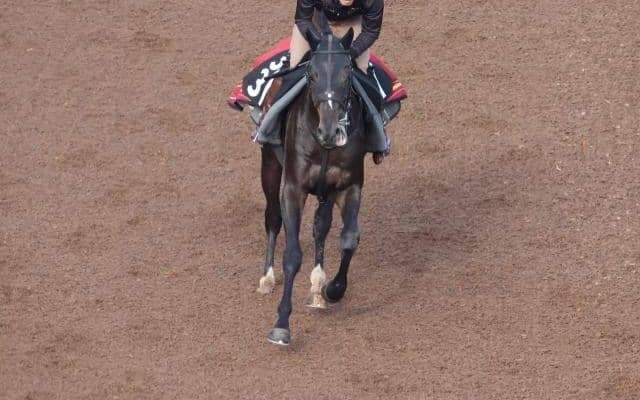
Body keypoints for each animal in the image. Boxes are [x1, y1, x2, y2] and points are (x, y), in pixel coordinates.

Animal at [255, 22, 369, 346]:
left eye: (347, 71)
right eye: (311, 73)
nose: (329, 130)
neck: (325, 145)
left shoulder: (349, 185)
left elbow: (348, 239)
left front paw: (332, 289)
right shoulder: (293, 188)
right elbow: (293, 253)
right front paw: (281, 324)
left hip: (325, 191)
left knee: (321, 226)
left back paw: (318, 286)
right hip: (270, 165)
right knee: (272, 217)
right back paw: (267, 277)